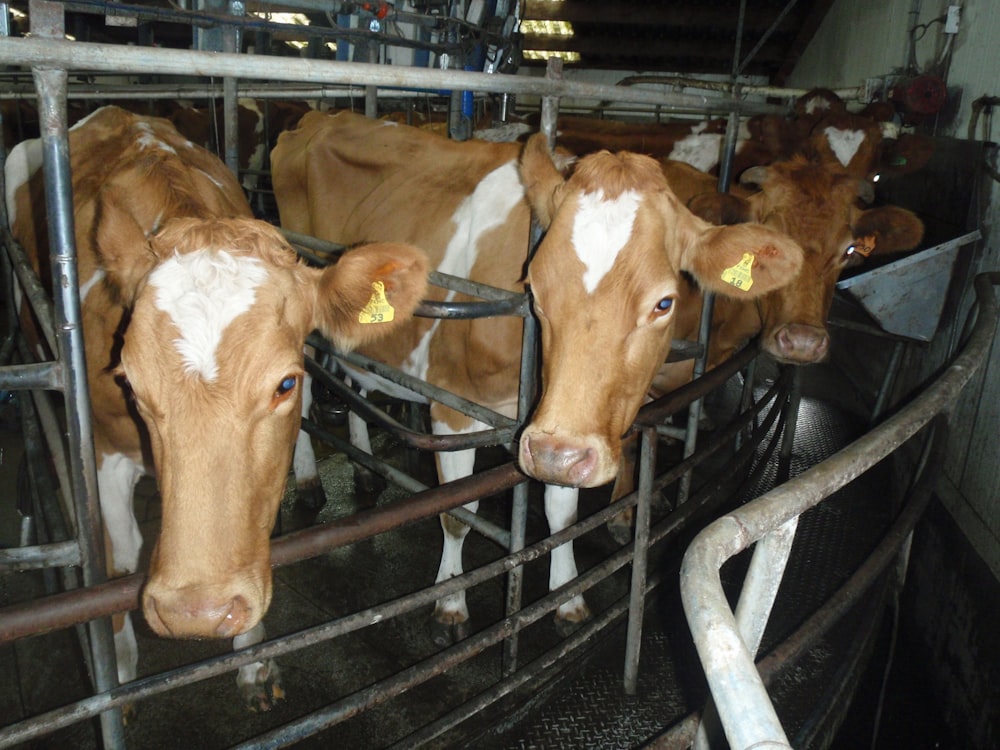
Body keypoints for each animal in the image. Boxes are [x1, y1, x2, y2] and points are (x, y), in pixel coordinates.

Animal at [7, 107, 430, 712]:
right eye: (130, 383)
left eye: (285, 383)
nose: (195, 614)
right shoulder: (104, 452)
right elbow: (116, 558)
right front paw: (120, 681)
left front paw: (251, 662)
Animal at [270, 110, 800, 640]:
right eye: (536, 290)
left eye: (664, 303)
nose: (556, 453)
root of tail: (321, 115)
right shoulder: (454, 407)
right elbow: (458, 515)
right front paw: (451, 603)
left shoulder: (560, 428)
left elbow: (561, 515)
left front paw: (567, 596)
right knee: (303, 394)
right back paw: (309, 482)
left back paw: (362, 467)